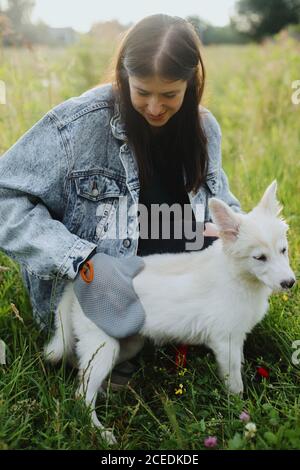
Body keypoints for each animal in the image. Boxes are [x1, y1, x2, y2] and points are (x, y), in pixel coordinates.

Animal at [44, 180, 296, 444]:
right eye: (260, 258)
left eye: (283, 250)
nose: (290, 283)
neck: (237, 274)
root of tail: (77, 282)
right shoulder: (225, 342)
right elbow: (235, 383)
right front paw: (240, 412)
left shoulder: (236, 340)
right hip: (104, 348)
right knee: (82, 396)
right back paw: (100, 431)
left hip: (125, 345)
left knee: (80, 371)